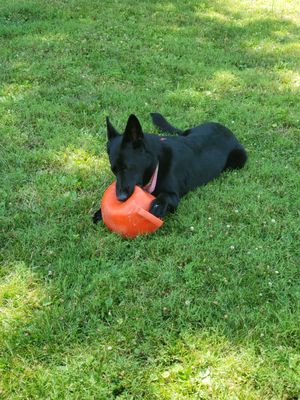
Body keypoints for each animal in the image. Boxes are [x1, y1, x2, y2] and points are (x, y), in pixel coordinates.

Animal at [93, 114, 246, 223]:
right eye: (114, 170)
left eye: (127, 167)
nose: (120, 198)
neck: (157, 163)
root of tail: (225, 129)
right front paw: (100, 212)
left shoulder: (174, 195)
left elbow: (165, 196)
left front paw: (158, 205)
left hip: (239, 160)